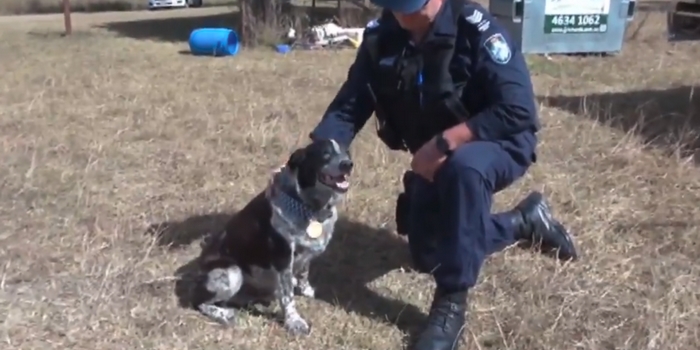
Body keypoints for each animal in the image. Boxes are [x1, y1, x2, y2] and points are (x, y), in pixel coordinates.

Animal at [193, 138, 352, 334]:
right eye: (325, 154)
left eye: (347, 153)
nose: (348, 164)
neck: (310, 207)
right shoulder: (283, 258)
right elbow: (287, 296)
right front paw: (294, 322)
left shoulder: (304, 252)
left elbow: (303, 272)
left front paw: (305, 289)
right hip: (232, 272)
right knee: (199, 302)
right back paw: (223, 314)